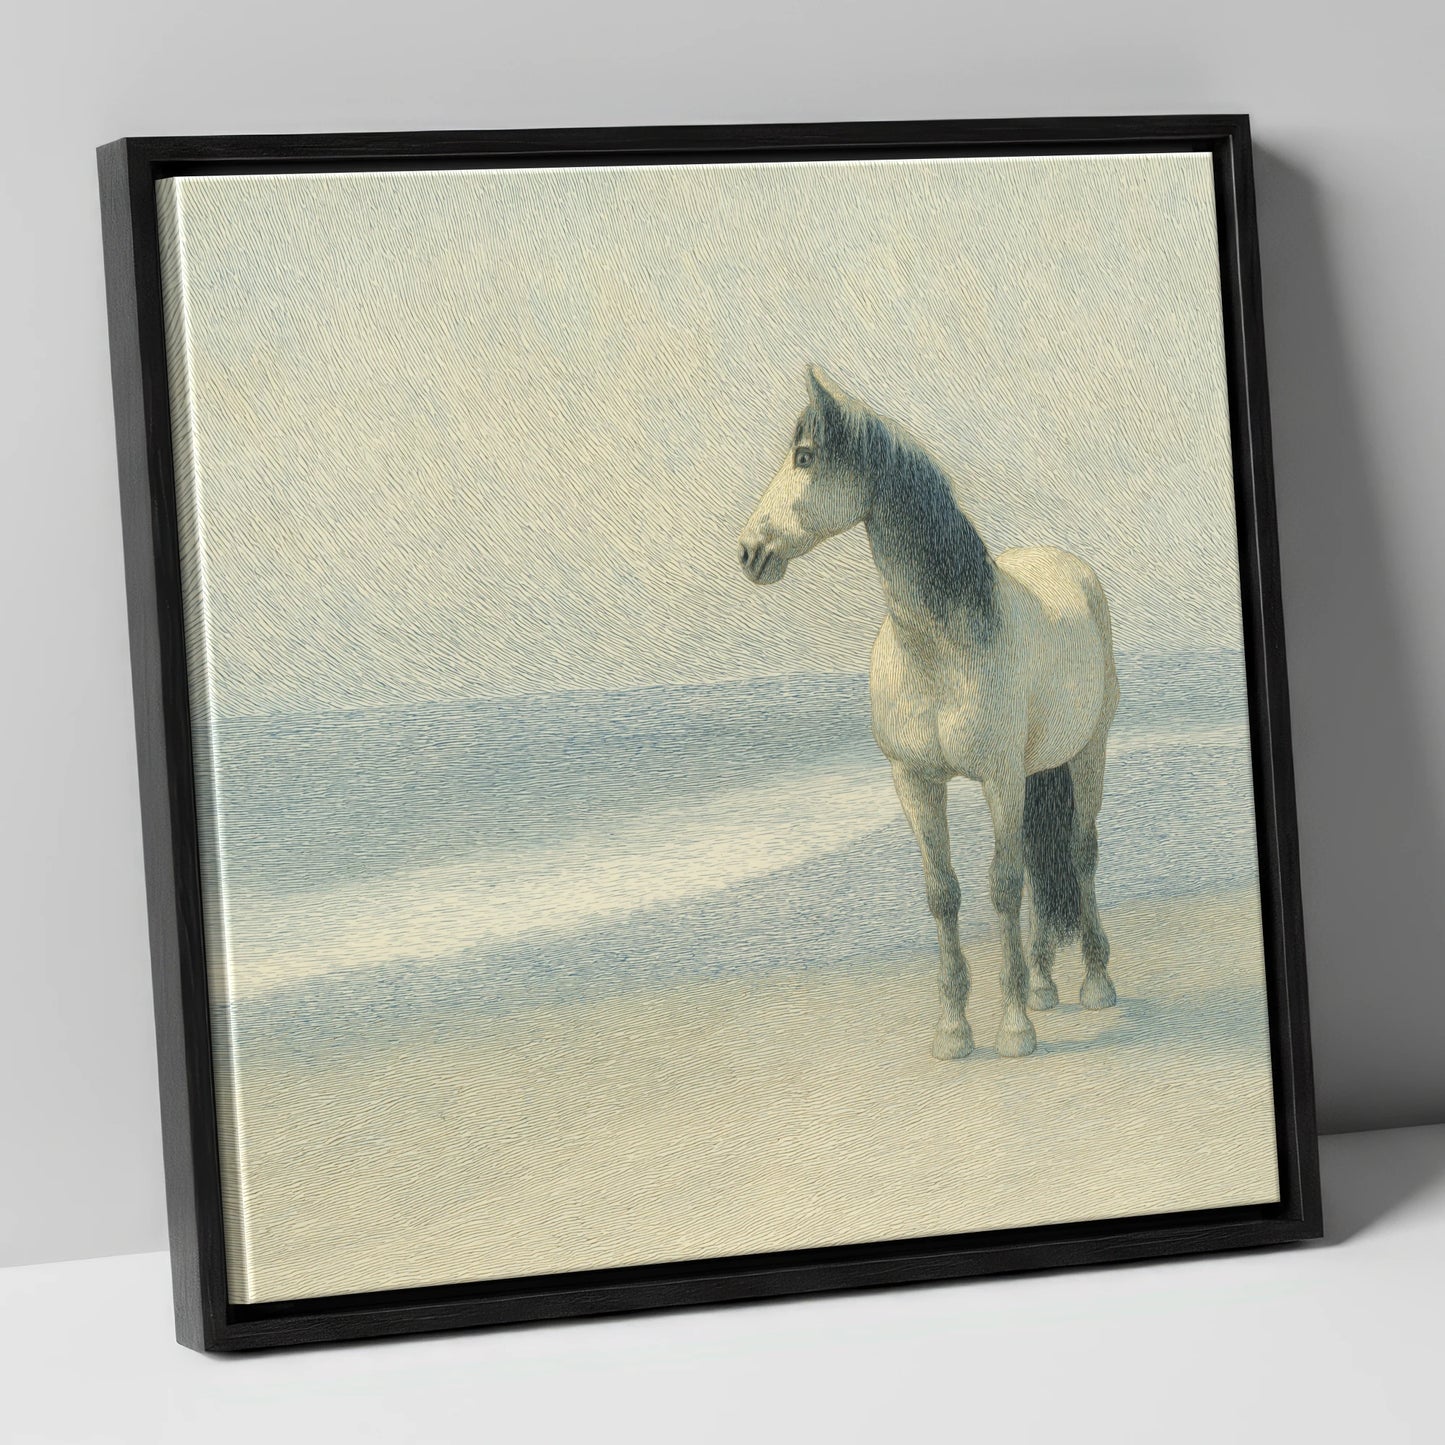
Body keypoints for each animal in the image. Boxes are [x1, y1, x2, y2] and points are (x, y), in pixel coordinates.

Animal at [737, 367, 1119, 1059]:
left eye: (804, 457)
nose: (750, 552)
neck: (940, 644)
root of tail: (1068, 565)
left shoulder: (998, 779)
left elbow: (1003, 886)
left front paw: (1013, 1030)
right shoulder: (915, 781)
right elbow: (944, 894)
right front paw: (953, 1030)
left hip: (1087, 753)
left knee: (1079, 853)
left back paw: (1095, 984)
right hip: (1035, 771)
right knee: (1041, 863)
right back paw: (1044, 986)